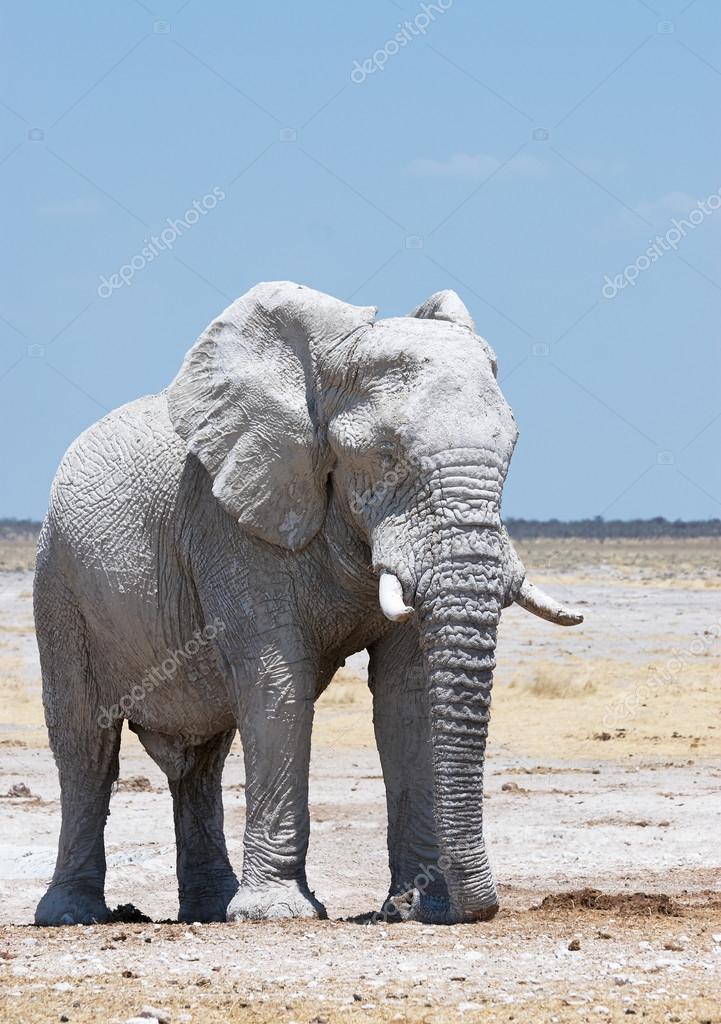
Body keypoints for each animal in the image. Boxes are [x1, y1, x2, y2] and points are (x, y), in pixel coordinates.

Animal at [33, 281, 582, 927]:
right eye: (386, 455)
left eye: (513, 449)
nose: (483, 909)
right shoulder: (231, 522)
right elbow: (277, 679)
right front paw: (280, 913)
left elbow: (407, 693)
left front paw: (419, 907)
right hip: (59, 582)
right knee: (86, 744)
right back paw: (73, 916)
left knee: (200, 760)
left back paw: (211, 909)